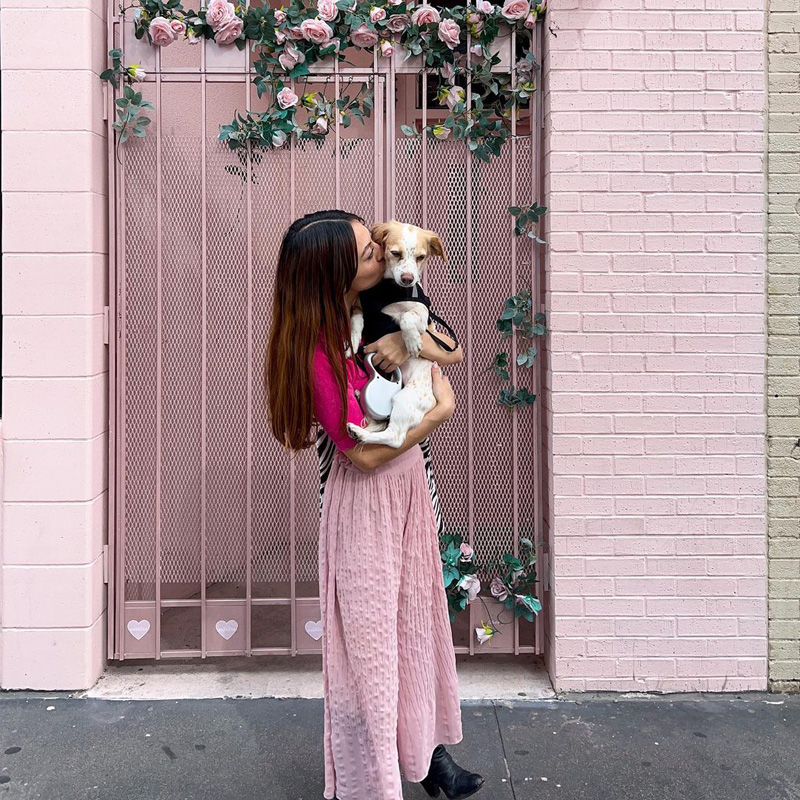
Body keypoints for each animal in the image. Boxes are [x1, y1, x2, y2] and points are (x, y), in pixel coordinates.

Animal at [346, 222, 450, 450]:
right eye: (395, 253)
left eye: (421, 257)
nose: (408, 279)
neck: (389, 289)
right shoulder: (360, 306)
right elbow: (356, 322)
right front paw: (352, 343)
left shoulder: (422, 311)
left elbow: (407, 318)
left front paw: (412, 342)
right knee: (383, 426)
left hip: (404, 399)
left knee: (395, 437)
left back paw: (361, 433)